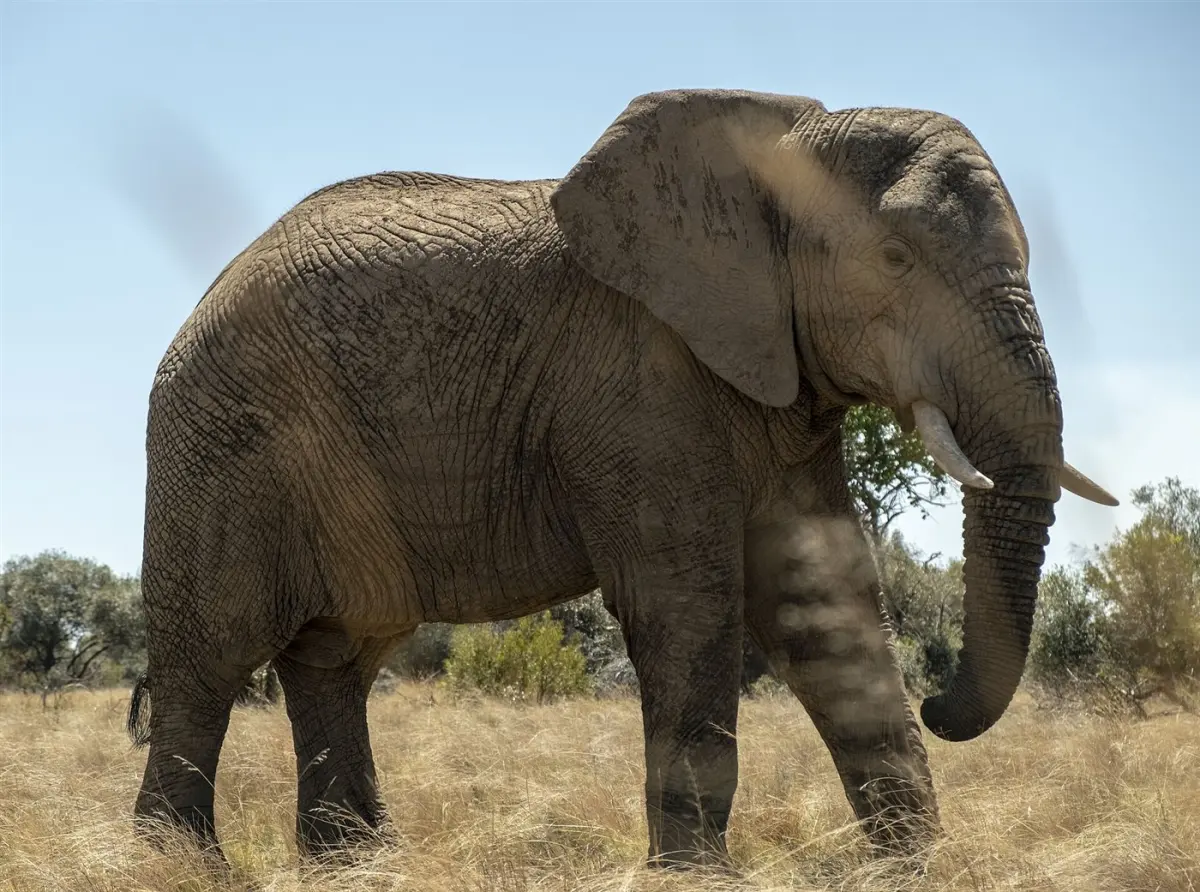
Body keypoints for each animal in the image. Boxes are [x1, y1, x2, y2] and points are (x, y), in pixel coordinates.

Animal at [126, 88, 1118, 868]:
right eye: (896, 261)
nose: (940, 702)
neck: (775, 155)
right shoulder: (637, 379)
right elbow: (689, 608)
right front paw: (698, 878)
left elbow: (827, 609)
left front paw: (924, 868)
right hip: (225, 448)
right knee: (207, 664)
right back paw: (182, 869)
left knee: (336, 660)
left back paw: (360, 867)